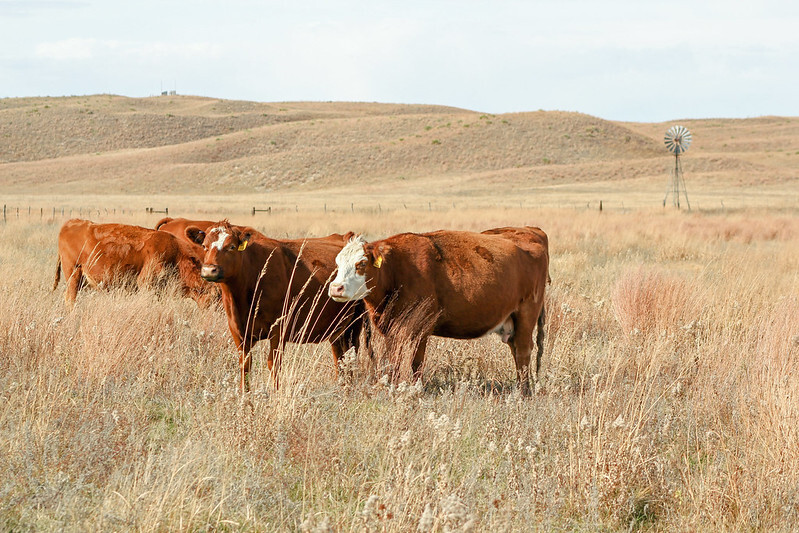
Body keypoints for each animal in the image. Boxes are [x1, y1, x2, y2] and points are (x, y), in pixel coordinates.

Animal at [194, 219, 366, 390]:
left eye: (231, 247)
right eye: (204, 246)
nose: (209, 270)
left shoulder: (279, 329)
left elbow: (274, 364)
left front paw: (275, 394)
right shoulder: (238, 332)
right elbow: (245, 365)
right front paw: (244, 395)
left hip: (354, 323)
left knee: (351, 354)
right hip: (338, 327)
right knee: (340, 357)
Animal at [330, 225, 552, 394]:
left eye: (361, 263)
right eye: (338, 263)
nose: (335, 287)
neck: (396, 269)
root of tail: (531, 230)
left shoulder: (421, 327)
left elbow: (416, 362)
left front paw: (415, 389)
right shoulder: (391, 329)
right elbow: (394, 360)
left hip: (526, 313)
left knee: (523, 351)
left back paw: (523, 392)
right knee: (516, 350)